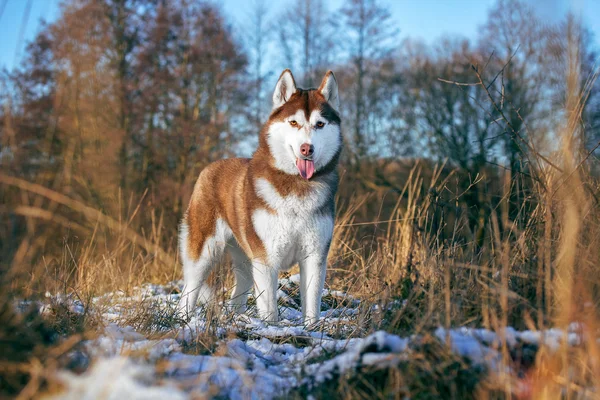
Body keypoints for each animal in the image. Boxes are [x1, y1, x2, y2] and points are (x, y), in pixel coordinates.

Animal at [179, 70, 342, 324]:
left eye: (320, 124)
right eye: (293, 122)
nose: (307, 149)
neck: (296, 186)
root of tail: (210, 167)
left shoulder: (314, 255)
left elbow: (312, 304)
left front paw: (311, 328)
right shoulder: (267, 258)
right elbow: (269, 308)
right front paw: (271, 328)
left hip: (245, 258)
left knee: (238, 293)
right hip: (204, 252)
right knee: (189, 289)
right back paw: (183, 319)